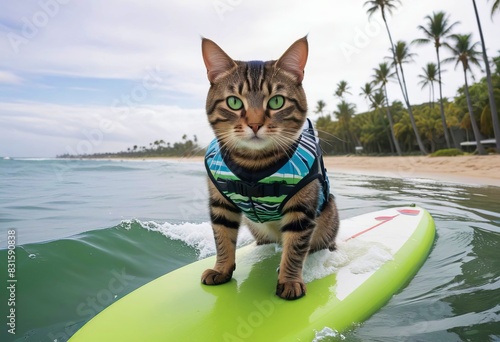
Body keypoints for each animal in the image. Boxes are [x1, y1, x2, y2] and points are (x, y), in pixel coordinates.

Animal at [200, 36, 340, 300]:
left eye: (276, 101)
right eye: (234, 102)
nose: (255, 124)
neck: (253, 164)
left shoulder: (301, 211)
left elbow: (295, 249)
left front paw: (289, 280)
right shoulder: (220, 204)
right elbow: (222, 238)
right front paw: (221, 269)